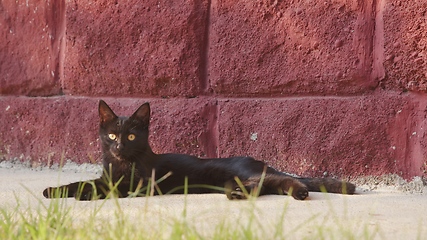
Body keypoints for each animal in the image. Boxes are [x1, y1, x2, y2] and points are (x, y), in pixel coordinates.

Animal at [44, 101, 358, 201]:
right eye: (111, 136)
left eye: (131, 136)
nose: (119, 146)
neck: (120, 165)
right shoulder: (107, 176)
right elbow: (82, 182)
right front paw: (53, 191)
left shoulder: (137, 186)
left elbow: (101, 188)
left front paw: (83, 195)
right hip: (239, 180)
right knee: (268, 185)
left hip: (242, 173)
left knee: (280, 179)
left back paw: (300, 192)